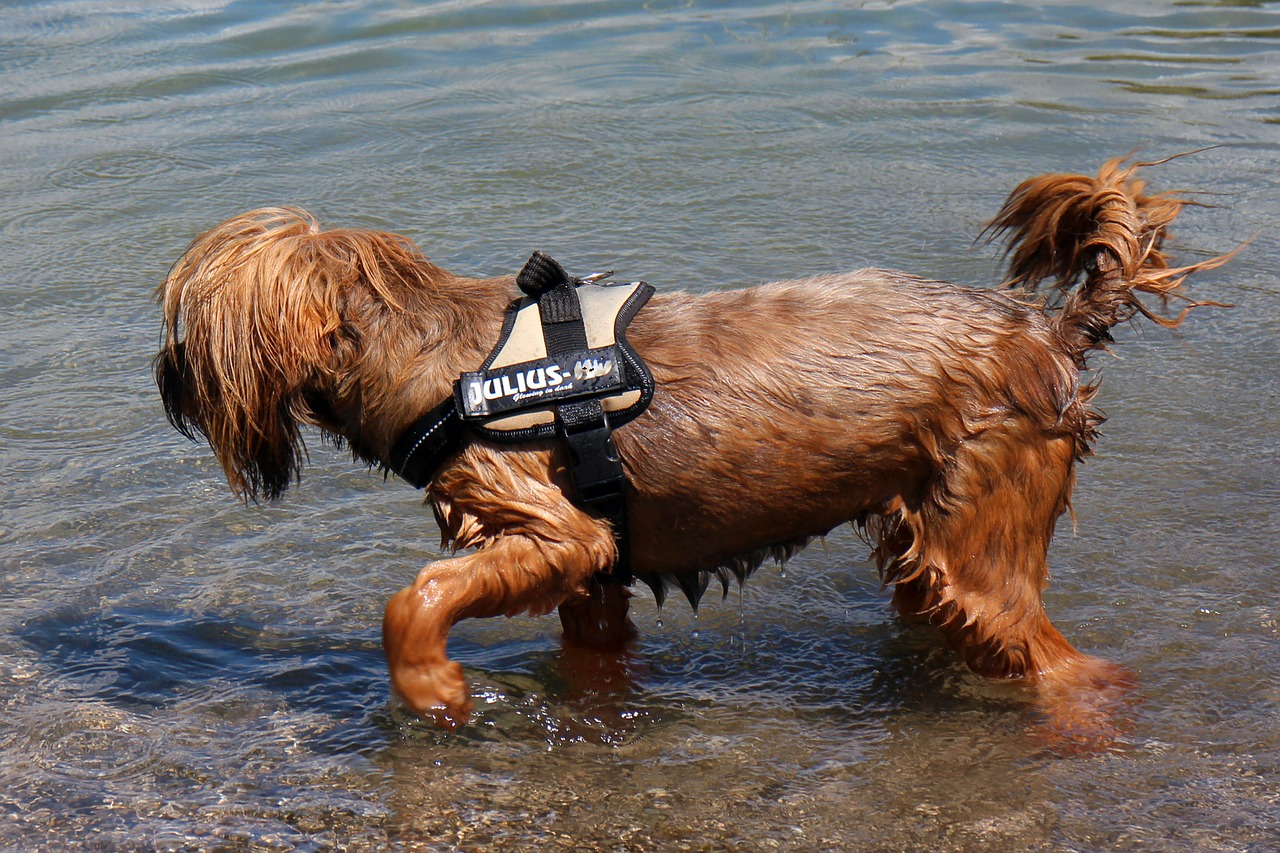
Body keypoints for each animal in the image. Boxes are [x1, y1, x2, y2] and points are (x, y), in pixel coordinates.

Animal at [154, 156, 1233, 727]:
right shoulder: (594, 572)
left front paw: (436, 690)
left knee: (1066, 667)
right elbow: (594, 652)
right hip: (927, 535)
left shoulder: (554, 531)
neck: (435, 357)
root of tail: (1044, 330)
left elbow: (408, 602)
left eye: (183, 332)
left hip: (981, 540)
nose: (162, 382)